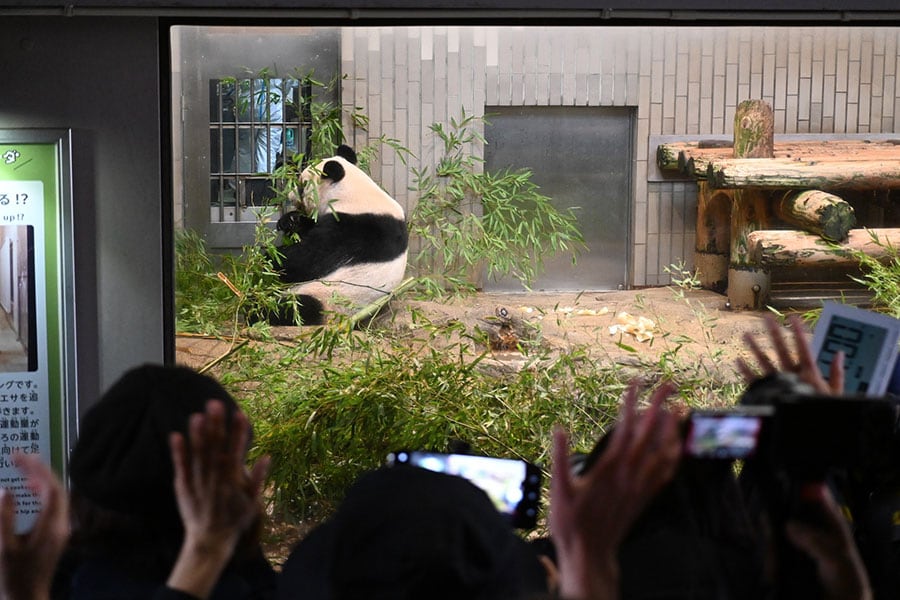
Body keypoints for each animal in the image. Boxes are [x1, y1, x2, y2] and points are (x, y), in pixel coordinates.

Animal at [268, 144, 408, 326]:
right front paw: (290, 220)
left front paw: (267, 257)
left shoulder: (355, 230)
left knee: (296, 308)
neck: (353, 194)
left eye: (301, 185)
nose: (291, 195)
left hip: (327, 299)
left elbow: (306, 259)